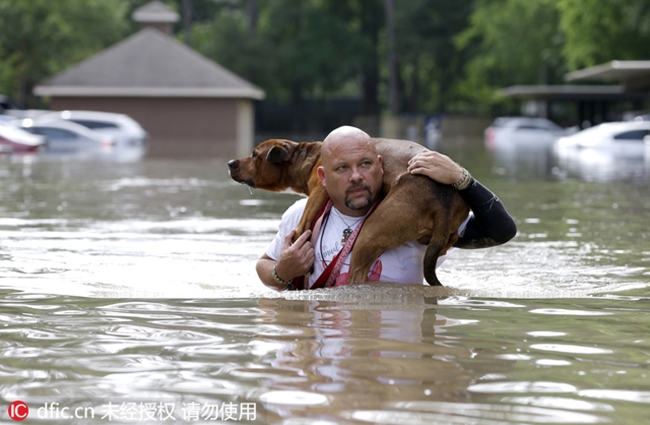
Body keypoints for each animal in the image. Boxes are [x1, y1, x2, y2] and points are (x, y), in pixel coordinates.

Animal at [228, 137, 466, 286]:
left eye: (255, 154)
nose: (230, 162)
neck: (307, 157)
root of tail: (442, 203)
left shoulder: (319, 191)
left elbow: (302, 224)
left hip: (369, 234)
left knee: (357, 274)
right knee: (451, 238)